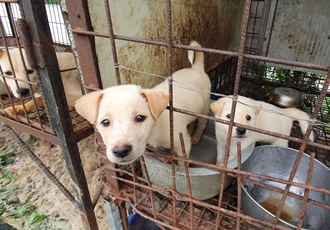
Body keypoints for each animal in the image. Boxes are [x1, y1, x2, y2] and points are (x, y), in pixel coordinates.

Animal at [75, 40, 210, 164]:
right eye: (105, 122)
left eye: (140, 118)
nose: (121, 151)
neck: (155, 129)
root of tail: (196, 69)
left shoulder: (182, 145)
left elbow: (183, 163)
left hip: (204, 107)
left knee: (201, 123)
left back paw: (195, 137)